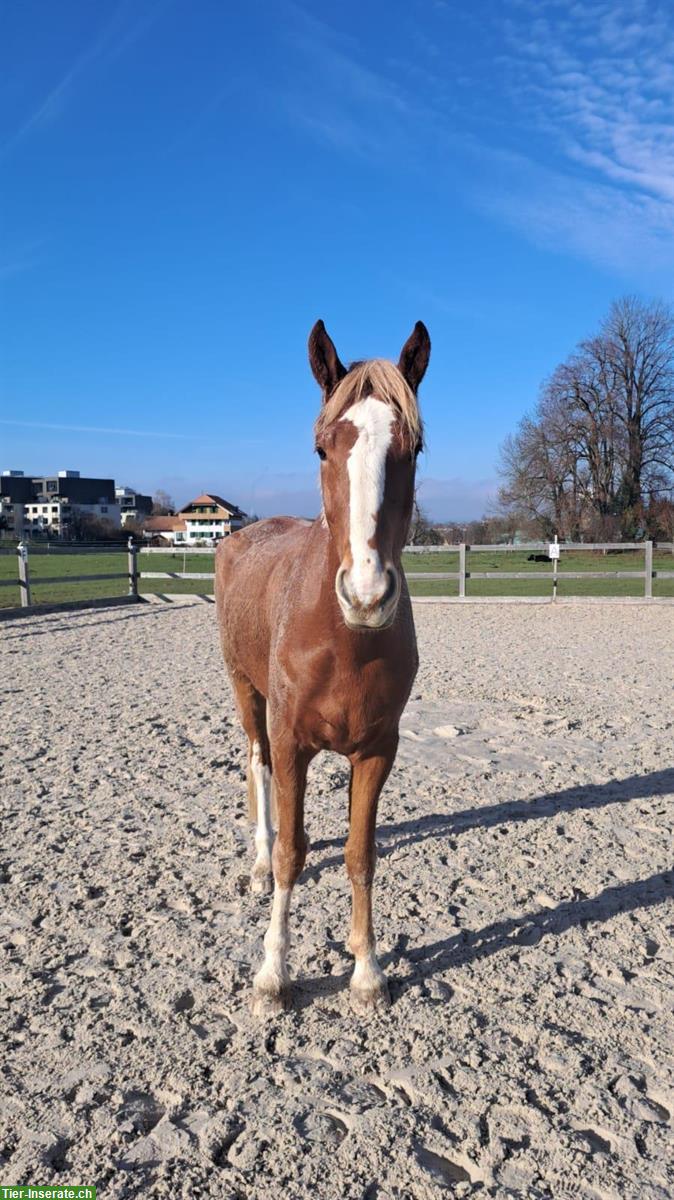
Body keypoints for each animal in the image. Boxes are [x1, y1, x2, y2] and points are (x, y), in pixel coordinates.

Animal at [214, 321, 429, 1012]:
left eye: (414, 447)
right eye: (320, 450)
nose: (367, 595)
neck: (344, 640)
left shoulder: (377, 750)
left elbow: (361, 855)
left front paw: (367, 972)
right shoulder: (292, 743)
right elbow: (293, 853)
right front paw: (272, 975)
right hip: (246, 692)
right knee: (255, 765)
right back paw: (256, 863)